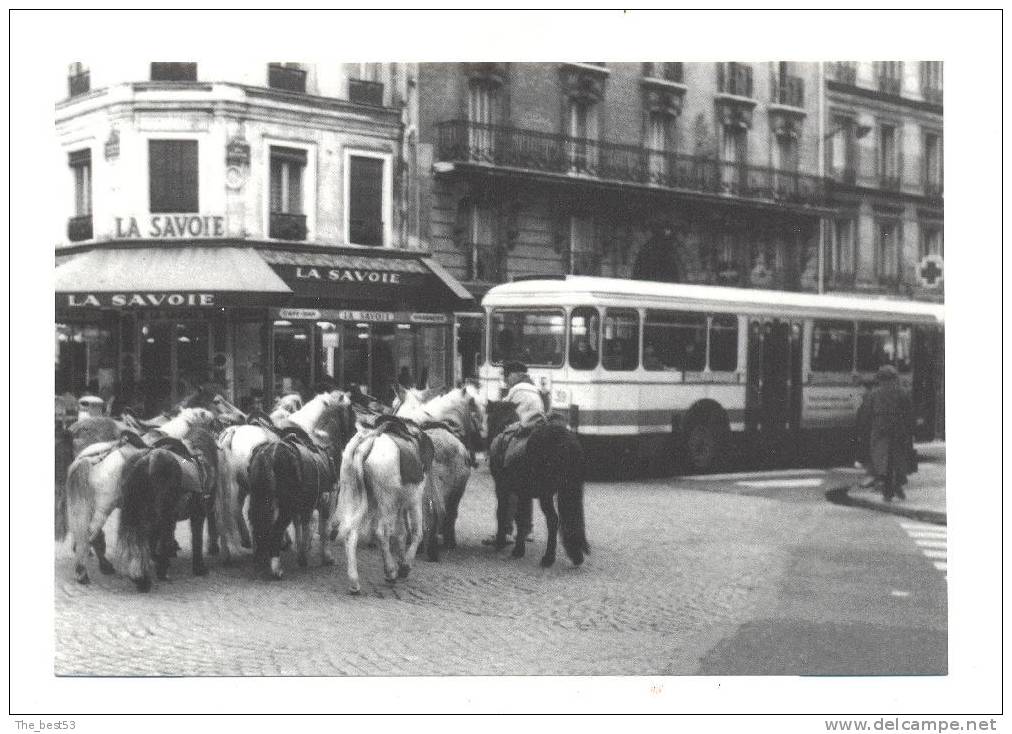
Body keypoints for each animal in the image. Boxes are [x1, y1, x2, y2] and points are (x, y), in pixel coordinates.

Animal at [244, 388, 356, 579]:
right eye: (350, 409)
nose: (355, 431)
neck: (322, 439)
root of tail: (270, 454)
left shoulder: (305, 503)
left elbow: (302, 525)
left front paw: (302, 554)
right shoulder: (329, 499)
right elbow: (323, 529)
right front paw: (326, 557)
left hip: (261, 501)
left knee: (258, 526)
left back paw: (261, 560)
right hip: (284, 507)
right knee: (275, 529)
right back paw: (276, 568)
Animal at [485, 400, 591, 566]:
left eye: (488, 418)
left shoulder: (502, 488)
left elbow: (503, 513)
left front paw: (505, 544)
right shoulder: (523, 493)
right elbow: (521, 517)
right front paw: (519, 548)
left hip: (545, 493)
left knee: (553, 520)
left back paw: (548, 558)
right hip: (568, 489)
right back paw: (576, 556)